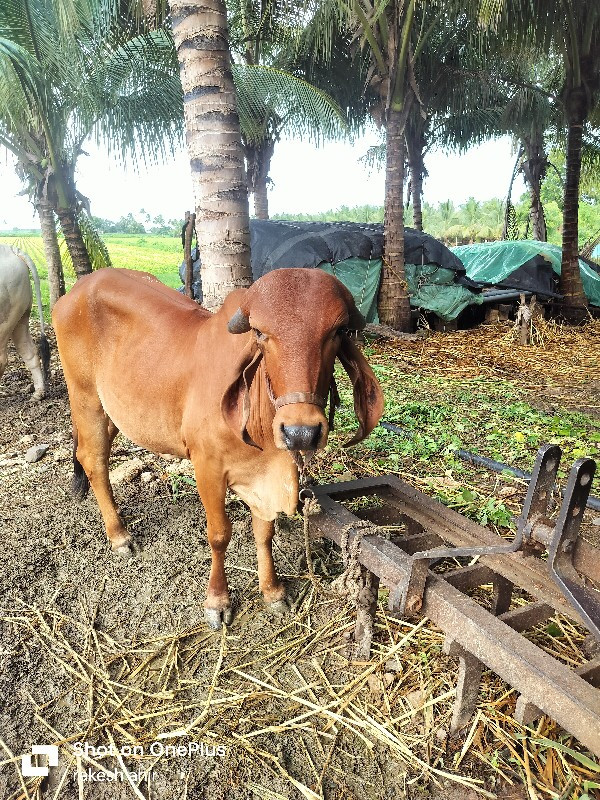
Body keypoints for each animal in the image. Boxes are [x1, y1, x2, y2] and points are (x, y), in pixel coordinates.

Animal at [0, 245, 49, 400]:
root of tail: (11, 250)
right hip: (20, 316)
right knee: (29, 351)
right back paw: (39, 393)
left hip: (3, 322)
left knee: (2, 359)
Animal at [51, 266, 384, 628]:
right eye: (260, 333)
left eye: (337, 331)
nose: (300, 433)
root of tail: (76, 289)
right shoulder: (207, 467)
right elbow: (219, 534)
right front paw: (217, 600)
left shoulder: (262, 479)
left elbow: (264, 532)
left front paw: (272, 590)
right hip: (85, 398)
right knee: (93, 460)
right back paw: (119, 535)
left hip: (111, 411)